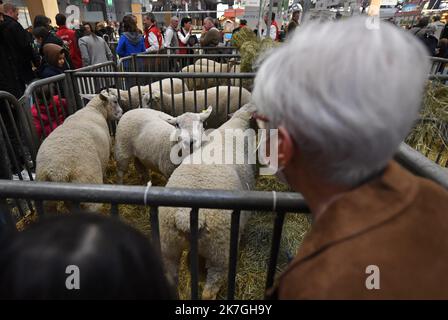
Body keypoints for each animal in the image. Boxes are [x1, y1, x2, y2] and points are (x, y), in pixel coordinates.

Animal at [158, 103, 256, 300]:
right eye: (177, 124)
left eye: (200, 123)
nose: (190, 141)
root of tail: (184, 217)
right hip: (220, 250)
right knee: (211, 287)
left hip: (168, 246)